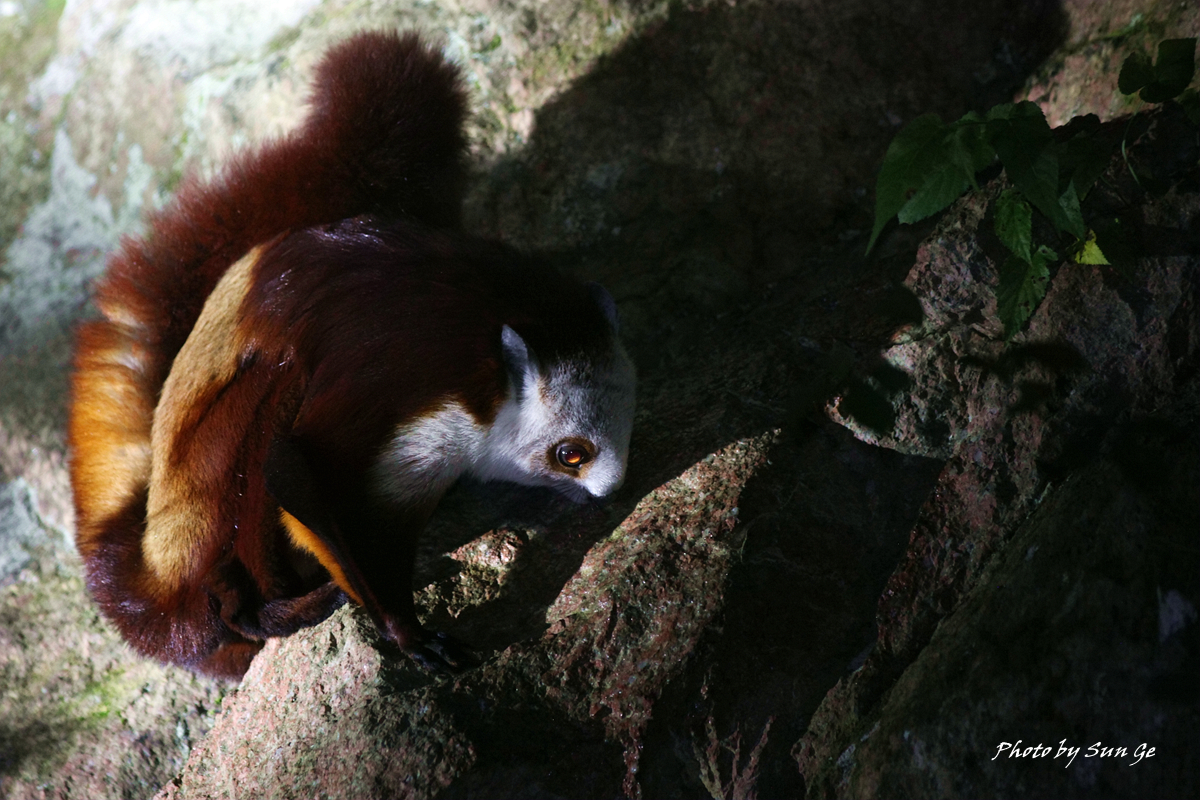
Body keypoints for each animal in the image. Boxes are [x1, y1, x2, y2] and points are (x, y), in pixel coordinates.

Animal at [68, 31, 636, 679]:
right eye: (571, 454)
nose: (610, 493)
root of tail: (163, 576)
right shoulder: (412, 400)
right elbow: (295, 468)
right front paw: (409, 634)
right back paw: (277, 609)